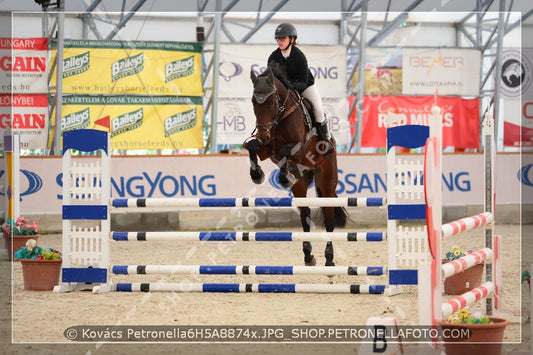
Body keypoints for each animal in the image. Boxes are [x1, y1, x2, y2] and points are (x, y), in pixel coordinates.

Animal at [244, 67, 348, 268]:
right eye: (253, 102)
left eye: (271, 102)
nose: (263, 134)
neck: (281, 115)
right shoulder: (266, 149)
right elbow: (252, 146)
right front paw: (257, 175)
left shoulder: (299, 149)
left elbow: (286, 150)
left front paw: (283, 178)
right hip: (301, 185)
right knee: (305, 215)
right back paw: (308, 256)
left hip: (327, 181)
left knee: (329, 219)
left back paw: (329, 258)